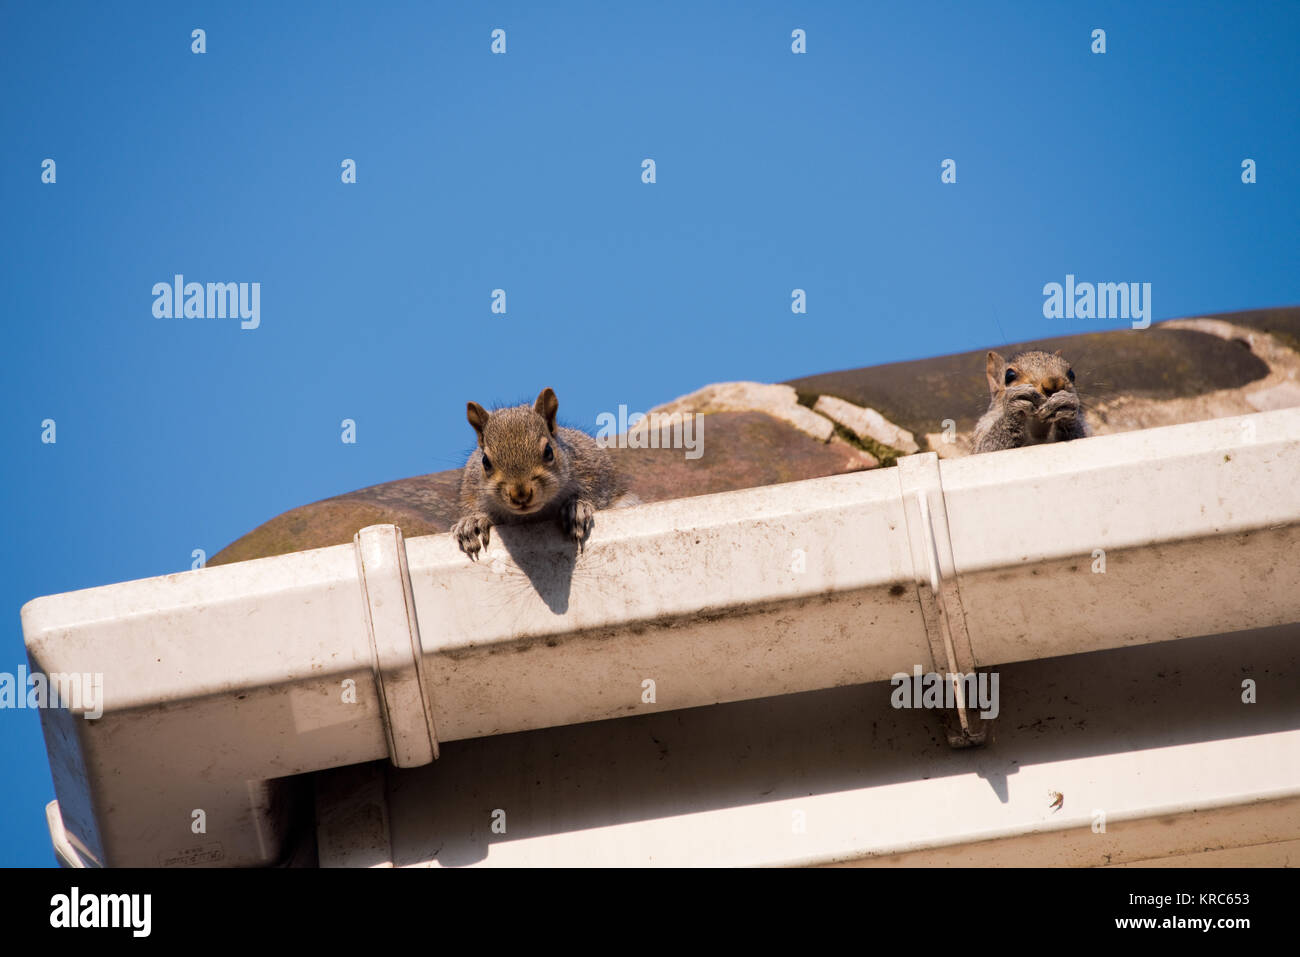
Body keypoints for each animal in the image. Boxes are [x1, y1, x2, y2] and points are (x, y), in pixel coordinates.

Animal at [451, 387, 631, 560]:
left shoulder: (590, 464)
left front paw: (577, 507)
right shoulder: (472, 486)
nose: (520, 495)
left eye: (548, 451)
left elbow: (597, 490)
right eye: (485, 462)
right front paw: (472, 522)